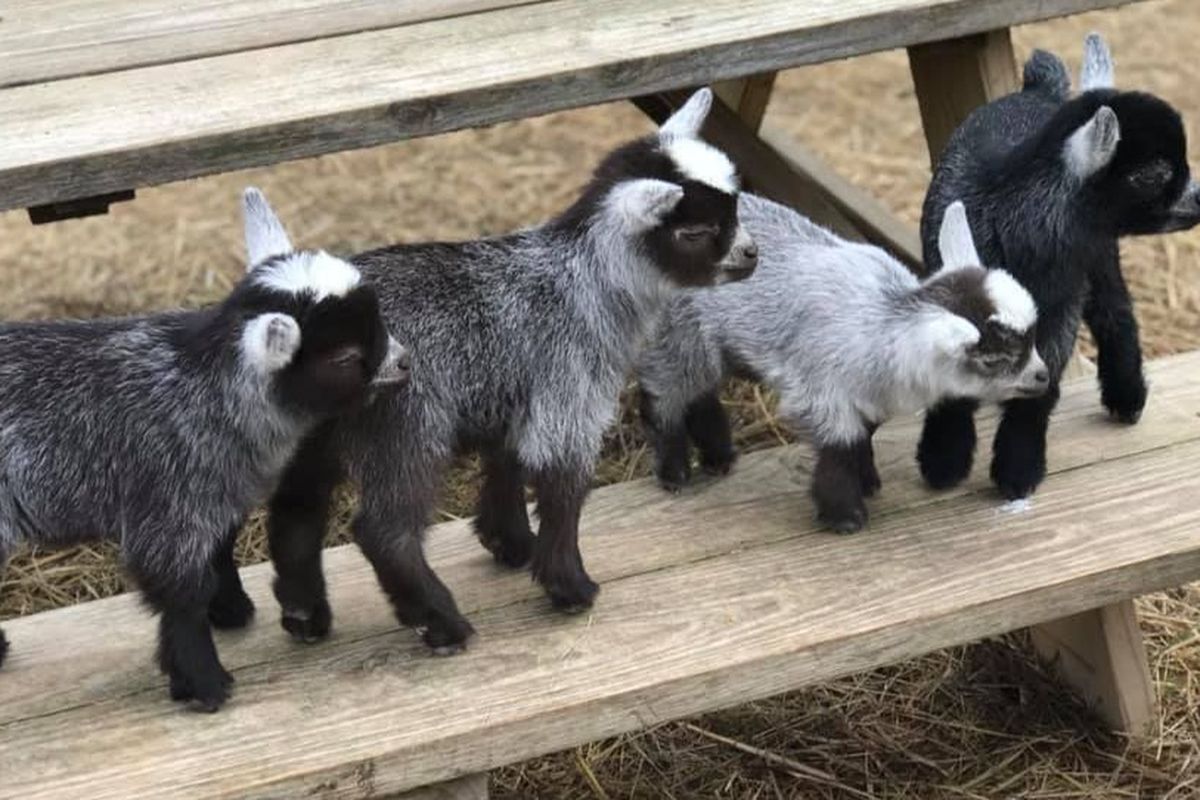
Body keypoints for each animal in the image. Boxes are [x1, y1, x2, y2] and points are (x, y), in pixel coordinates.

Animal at [0, 189, 408, 714]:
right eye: (346, 358)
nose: (404, 363)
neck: (203, 384)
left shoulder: (215, 498)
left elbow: (219, 554)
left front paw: (231, 611)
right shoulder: (169, 511)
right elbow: (181, 599)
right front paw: (205, 684)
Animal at [265, 87, 758, 652]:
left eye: (734, 207)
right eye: (696, 231)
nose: (752, 254)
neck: (585, 284)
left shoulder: (516, 390)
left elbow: (508, 463)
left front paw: (511, 543)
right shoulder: (568, 396)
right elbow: (564, 491)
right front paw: (569, 585)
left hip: (313, 435)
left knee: (295, 513)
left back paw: (305, 615)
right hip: (405, 423)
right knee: (384, 531)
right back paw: (441, 622)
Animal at [643, 194, 1046, 532]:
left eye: (1031, 339)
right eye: (994, 360)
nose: (1042, 377)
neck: (885, 321)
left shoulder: (866, 394)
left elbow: (863, 433)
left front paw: (866, 482)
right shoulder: (816, 388)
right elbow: (841, 440)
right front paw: (844, 515)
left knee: (699, 390)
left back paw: (719, 458)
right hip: (677, 329)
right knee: (664, 393)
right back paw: (674, 472)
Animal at [912, 32, 1200, 501]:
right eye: (1153, 175)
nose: (1199, 199)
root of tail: (1038, 89)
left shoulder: (1062, 302)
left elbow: (1042, 382)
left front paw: (1017, 469)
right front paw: (943, 460)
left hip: (1098, 258)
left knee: (1114, 311)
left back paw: (1127, 396)